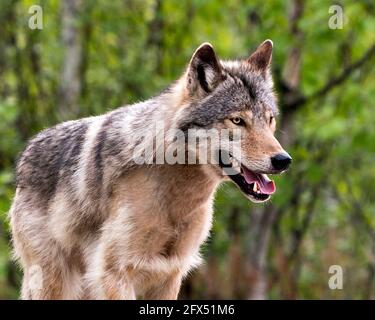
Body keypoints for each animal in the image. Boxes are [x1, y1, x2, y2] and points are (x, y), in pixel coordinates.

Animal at [8, 40, 290, 300]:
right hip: (56, 283)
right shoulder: (114, 273)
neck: (175, 199)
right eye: (237, 120)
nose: (283, 160)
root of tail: (26, 152)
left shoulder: (170, 273)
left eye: (270, 120)